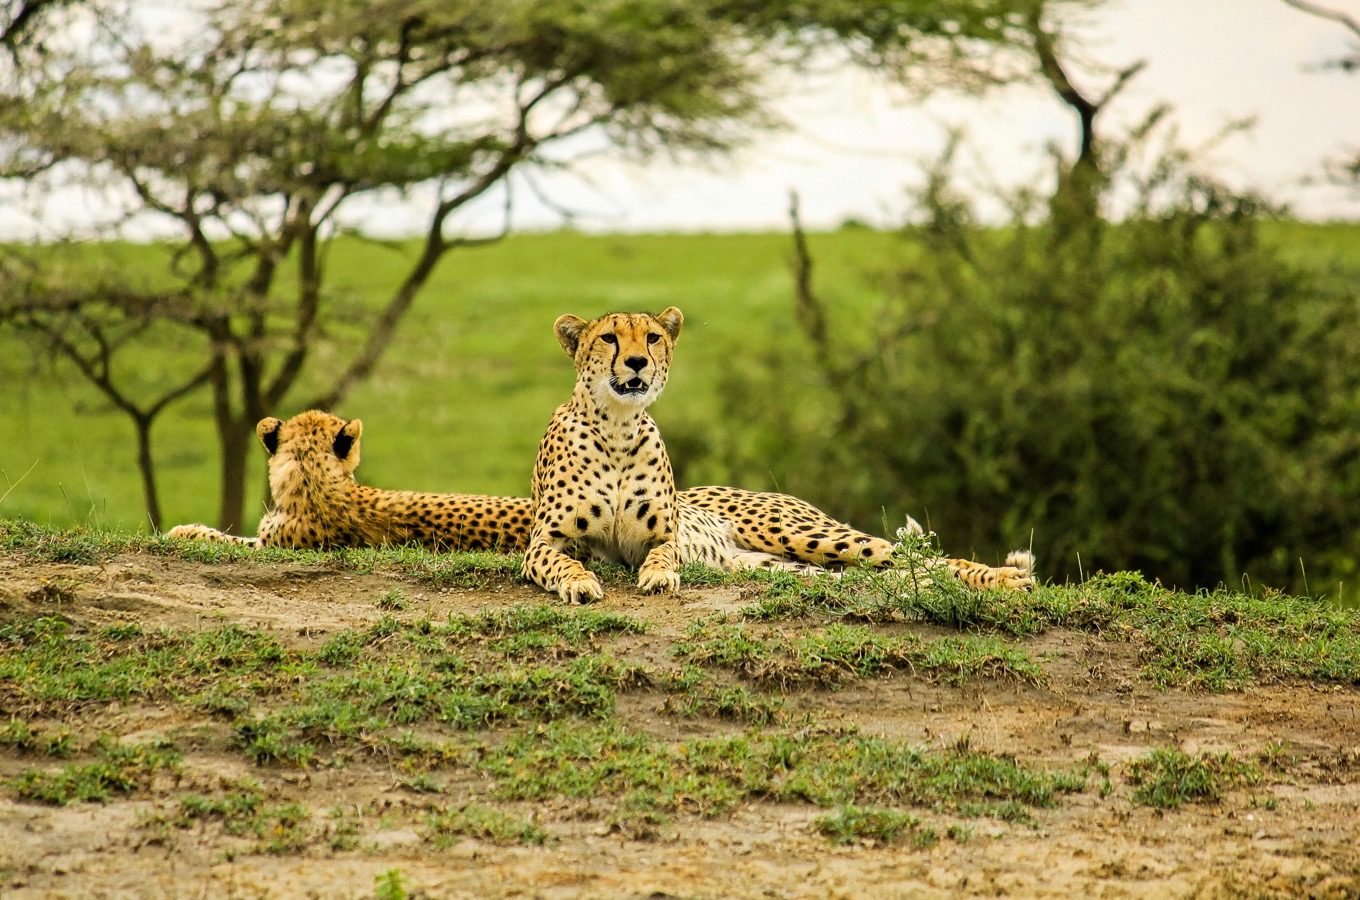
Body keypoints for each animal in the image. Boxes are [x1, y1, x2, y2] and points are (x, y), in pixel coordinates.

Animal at [519, 304, 1028, 606]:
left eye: (652, 337)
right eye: (608, 338)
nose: (638, 363)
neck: (617, 427)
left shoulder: (662, 535)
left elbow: (663, 555)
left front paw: (659, 577)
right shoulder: (544, 542)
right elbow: (560, 562)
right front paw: (579, 581)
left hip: (804, 535)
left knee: (917, 559)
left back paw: (1005, 578)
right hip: (787, 564)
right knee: (890, 574)